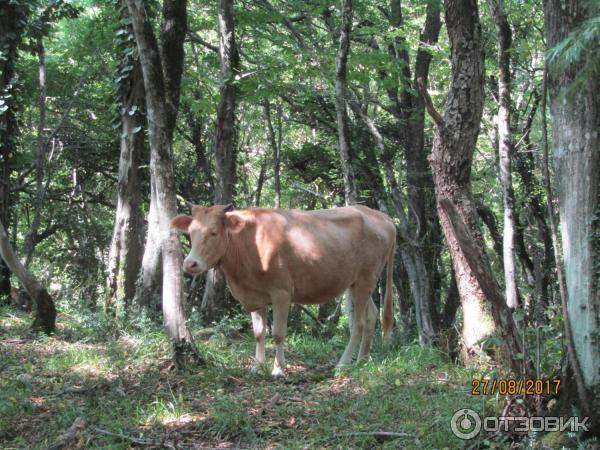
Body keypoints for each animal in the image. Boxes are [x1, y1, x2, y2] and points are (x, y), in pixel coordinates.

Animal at [171, 204, 396, 376]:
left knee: (358, 323)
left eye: (213, 233)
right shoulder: (255, 297)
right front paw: (257, 366)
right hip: (357, 282)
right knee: (371, 316)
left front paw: (278, 369)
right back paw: (362, 359)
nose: (190, 264)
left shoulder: (281, 292)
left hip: (366, 279)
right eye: (190, 233)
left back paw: (343, 363)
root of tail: (383, 217)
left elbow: (278, 333)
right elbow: (259, 333)